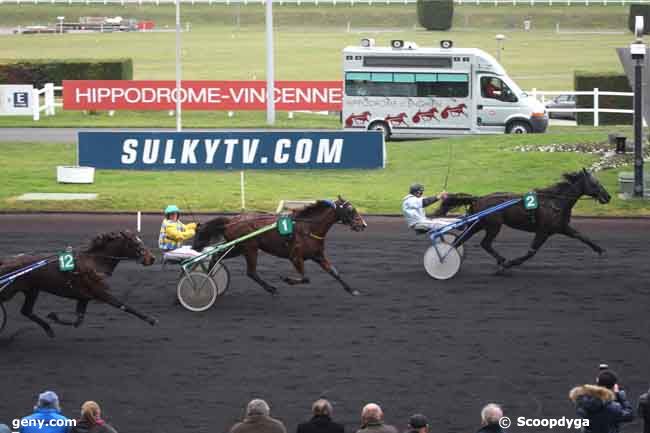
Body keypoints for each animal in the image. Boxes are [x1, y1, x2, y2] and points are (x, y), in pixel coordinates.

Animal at [0, 230, 156, 338]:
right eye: (136, 243)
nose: (152, 258)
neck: (95, 262)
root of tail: (6, 261)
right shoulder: (101, 292)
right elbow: (123, 305)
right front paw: (151, 319)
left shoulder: (84, 297)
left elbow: (78, 321)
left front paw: (54, 317)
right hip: (10, 291)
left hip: (32, 289)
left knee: (26, 311)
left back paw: (48, 329)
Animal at [191, 197, 364, 296]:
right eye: (350, 209)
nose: (363, 224)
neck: (308, 228)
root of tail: (231, 221)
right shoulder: (295, 257)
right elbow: (305, 278)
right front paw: (287, 279)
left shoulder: (318, 255)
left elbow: (334, 272)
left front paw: (352, 290)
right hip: (249, 248)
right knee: (251, 272)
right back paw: (271, 289)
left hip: (238, 247)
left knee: (216, 256)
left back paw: (208, 278)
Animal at [432, 168, 612, 270]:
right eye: (595, 183)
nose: (608, 196)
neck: (554, 202)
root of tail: (479, 198)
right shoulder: (543, 230)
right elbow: (531, 252)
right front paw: (510, 264)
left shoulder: (561, 227)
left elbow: (582, 236)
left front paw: (600, 250)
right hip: (493, 226)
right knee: (485, 243)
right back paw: (501, 261)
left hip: (479, 224)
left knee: (460, 240)